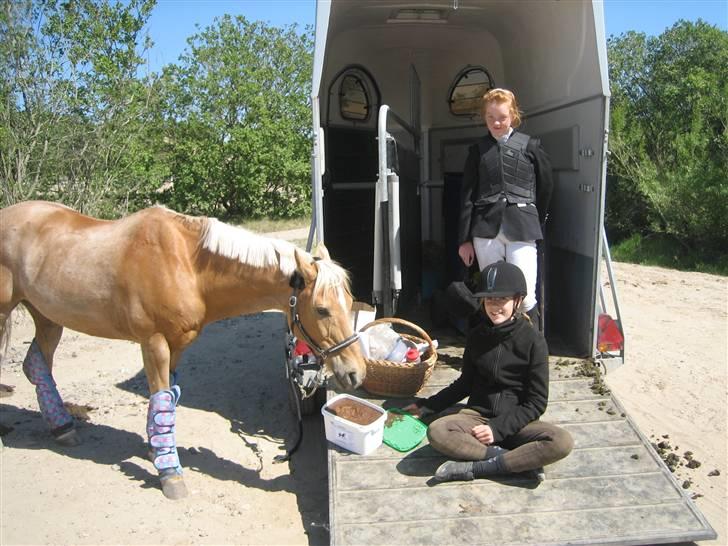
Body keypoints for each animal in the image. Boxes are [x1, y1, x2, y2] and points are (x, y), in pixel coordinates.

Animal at [0, 200, 364, 498]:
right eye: (321, 310)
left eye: (348, 301)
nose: (356, 372)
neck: (186, 264)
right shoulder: (154, 342)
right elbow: (161, 398)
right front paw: (170, 472)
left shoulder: (176, 345)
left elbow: (166, 400)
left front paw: (156, 449)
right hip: (8, 309)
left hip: (47, 315)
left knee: (36, 365)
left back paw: (62, 426)